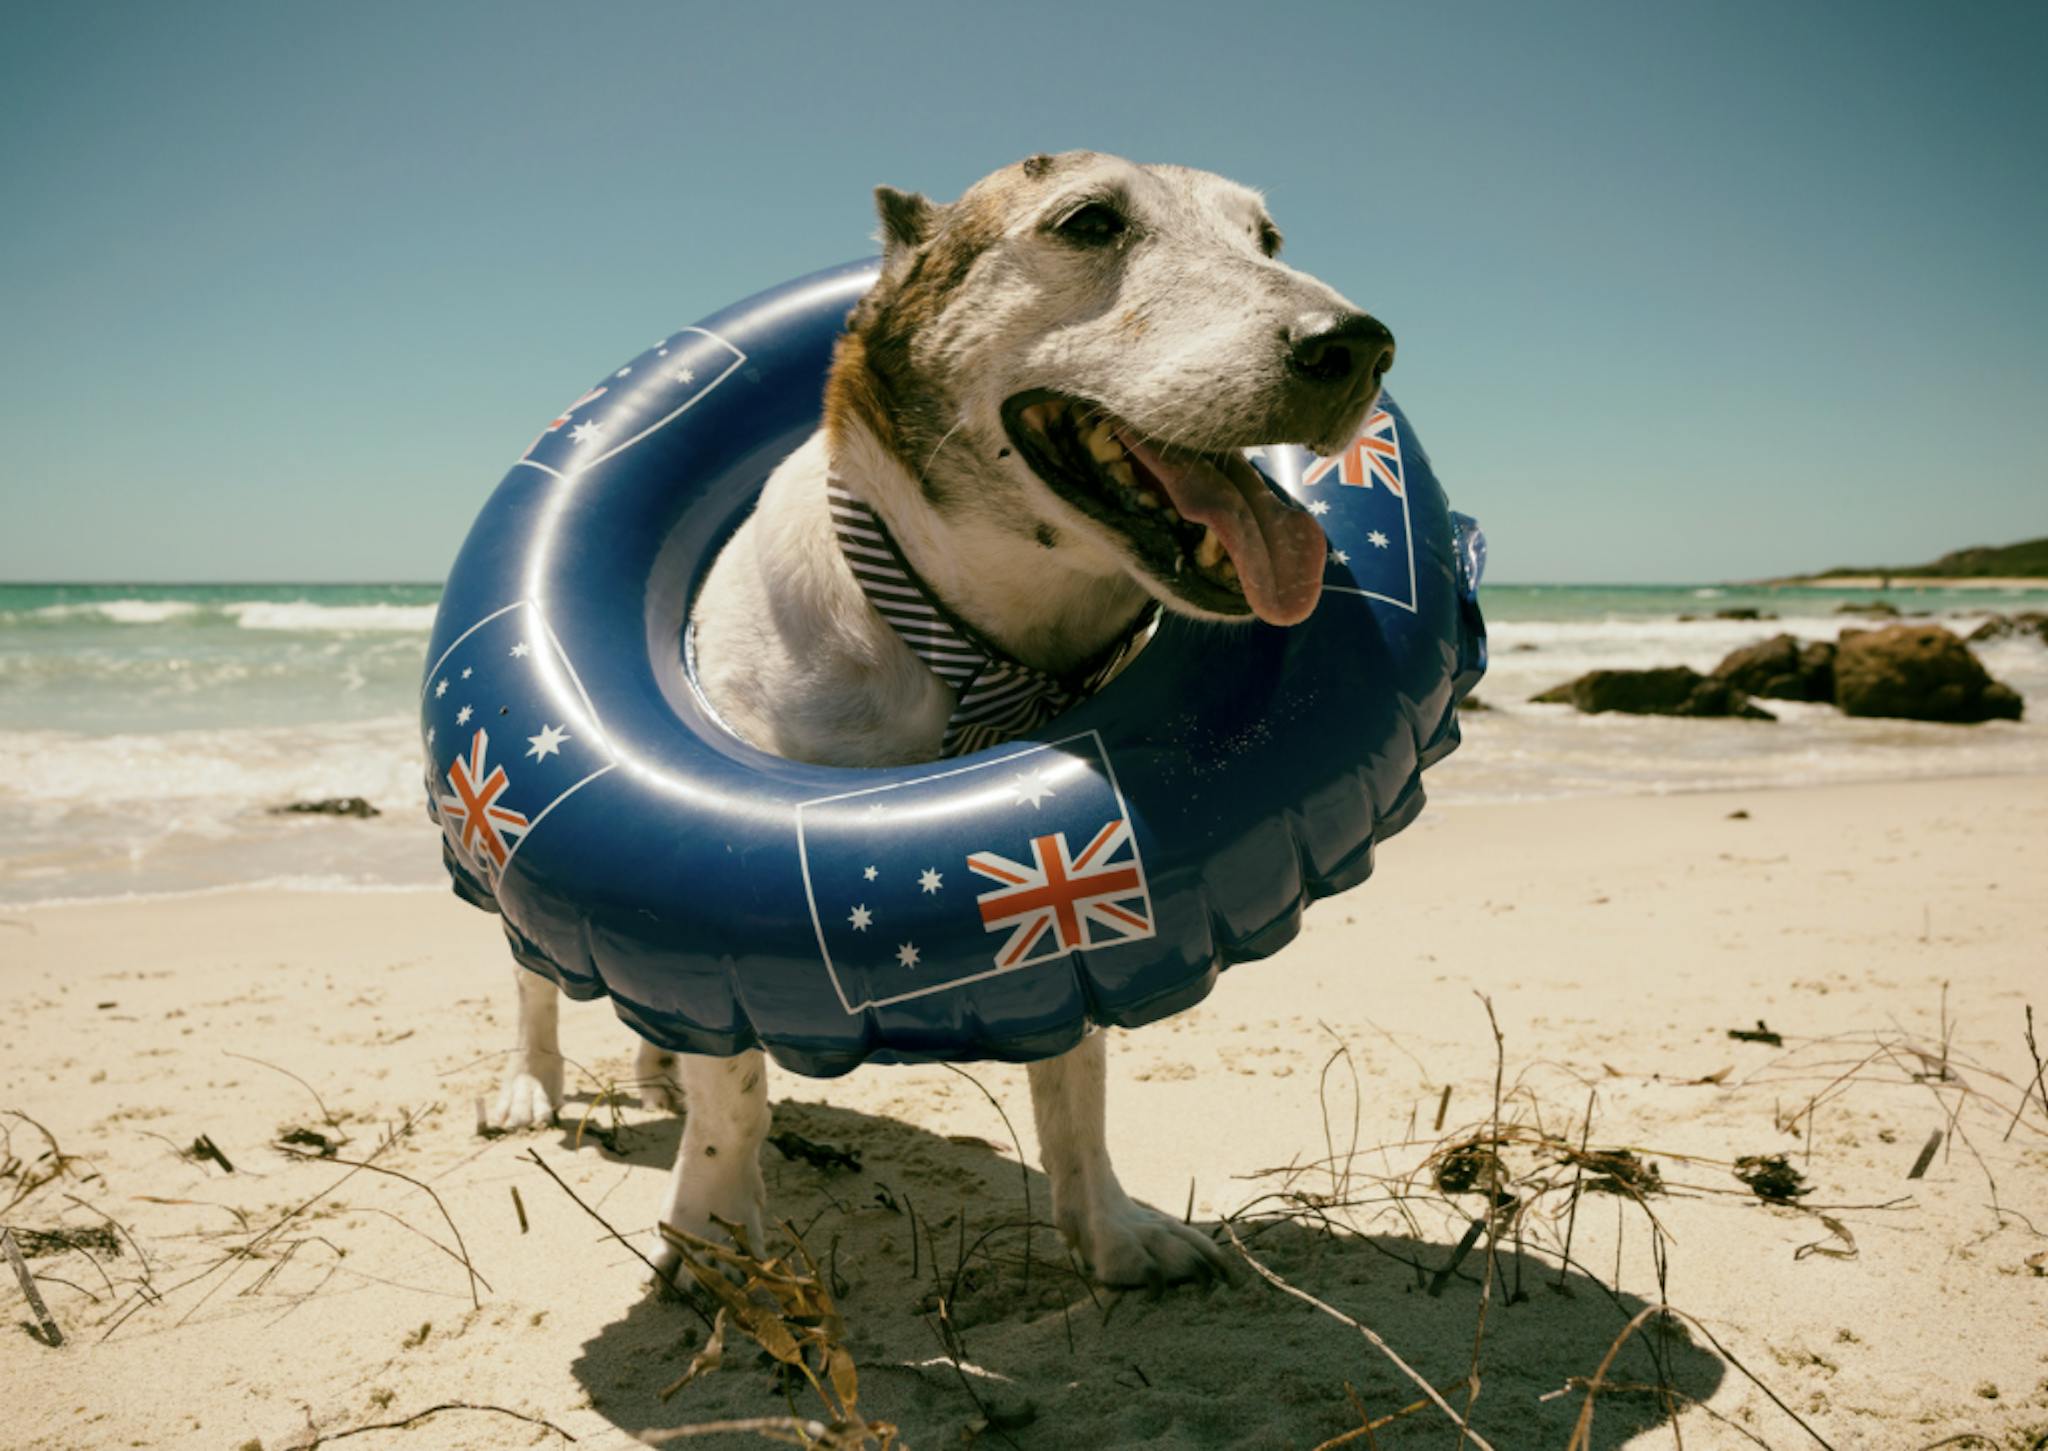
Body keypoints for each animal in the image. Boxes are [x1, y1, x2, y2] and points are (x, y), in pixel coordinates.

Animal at [487, 152, 1400, 1287]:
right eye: (1088, 221)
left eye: (1267, 238)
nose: (1358, 346)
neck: (976, 645)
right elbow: (732, 1089)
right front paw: (715, 1239)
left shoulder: (1069, 882)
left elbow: (1077, 1076)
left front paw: (1110, 1230)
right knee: (537, 981)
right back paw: (531, 1086)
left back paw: (654, 1068)